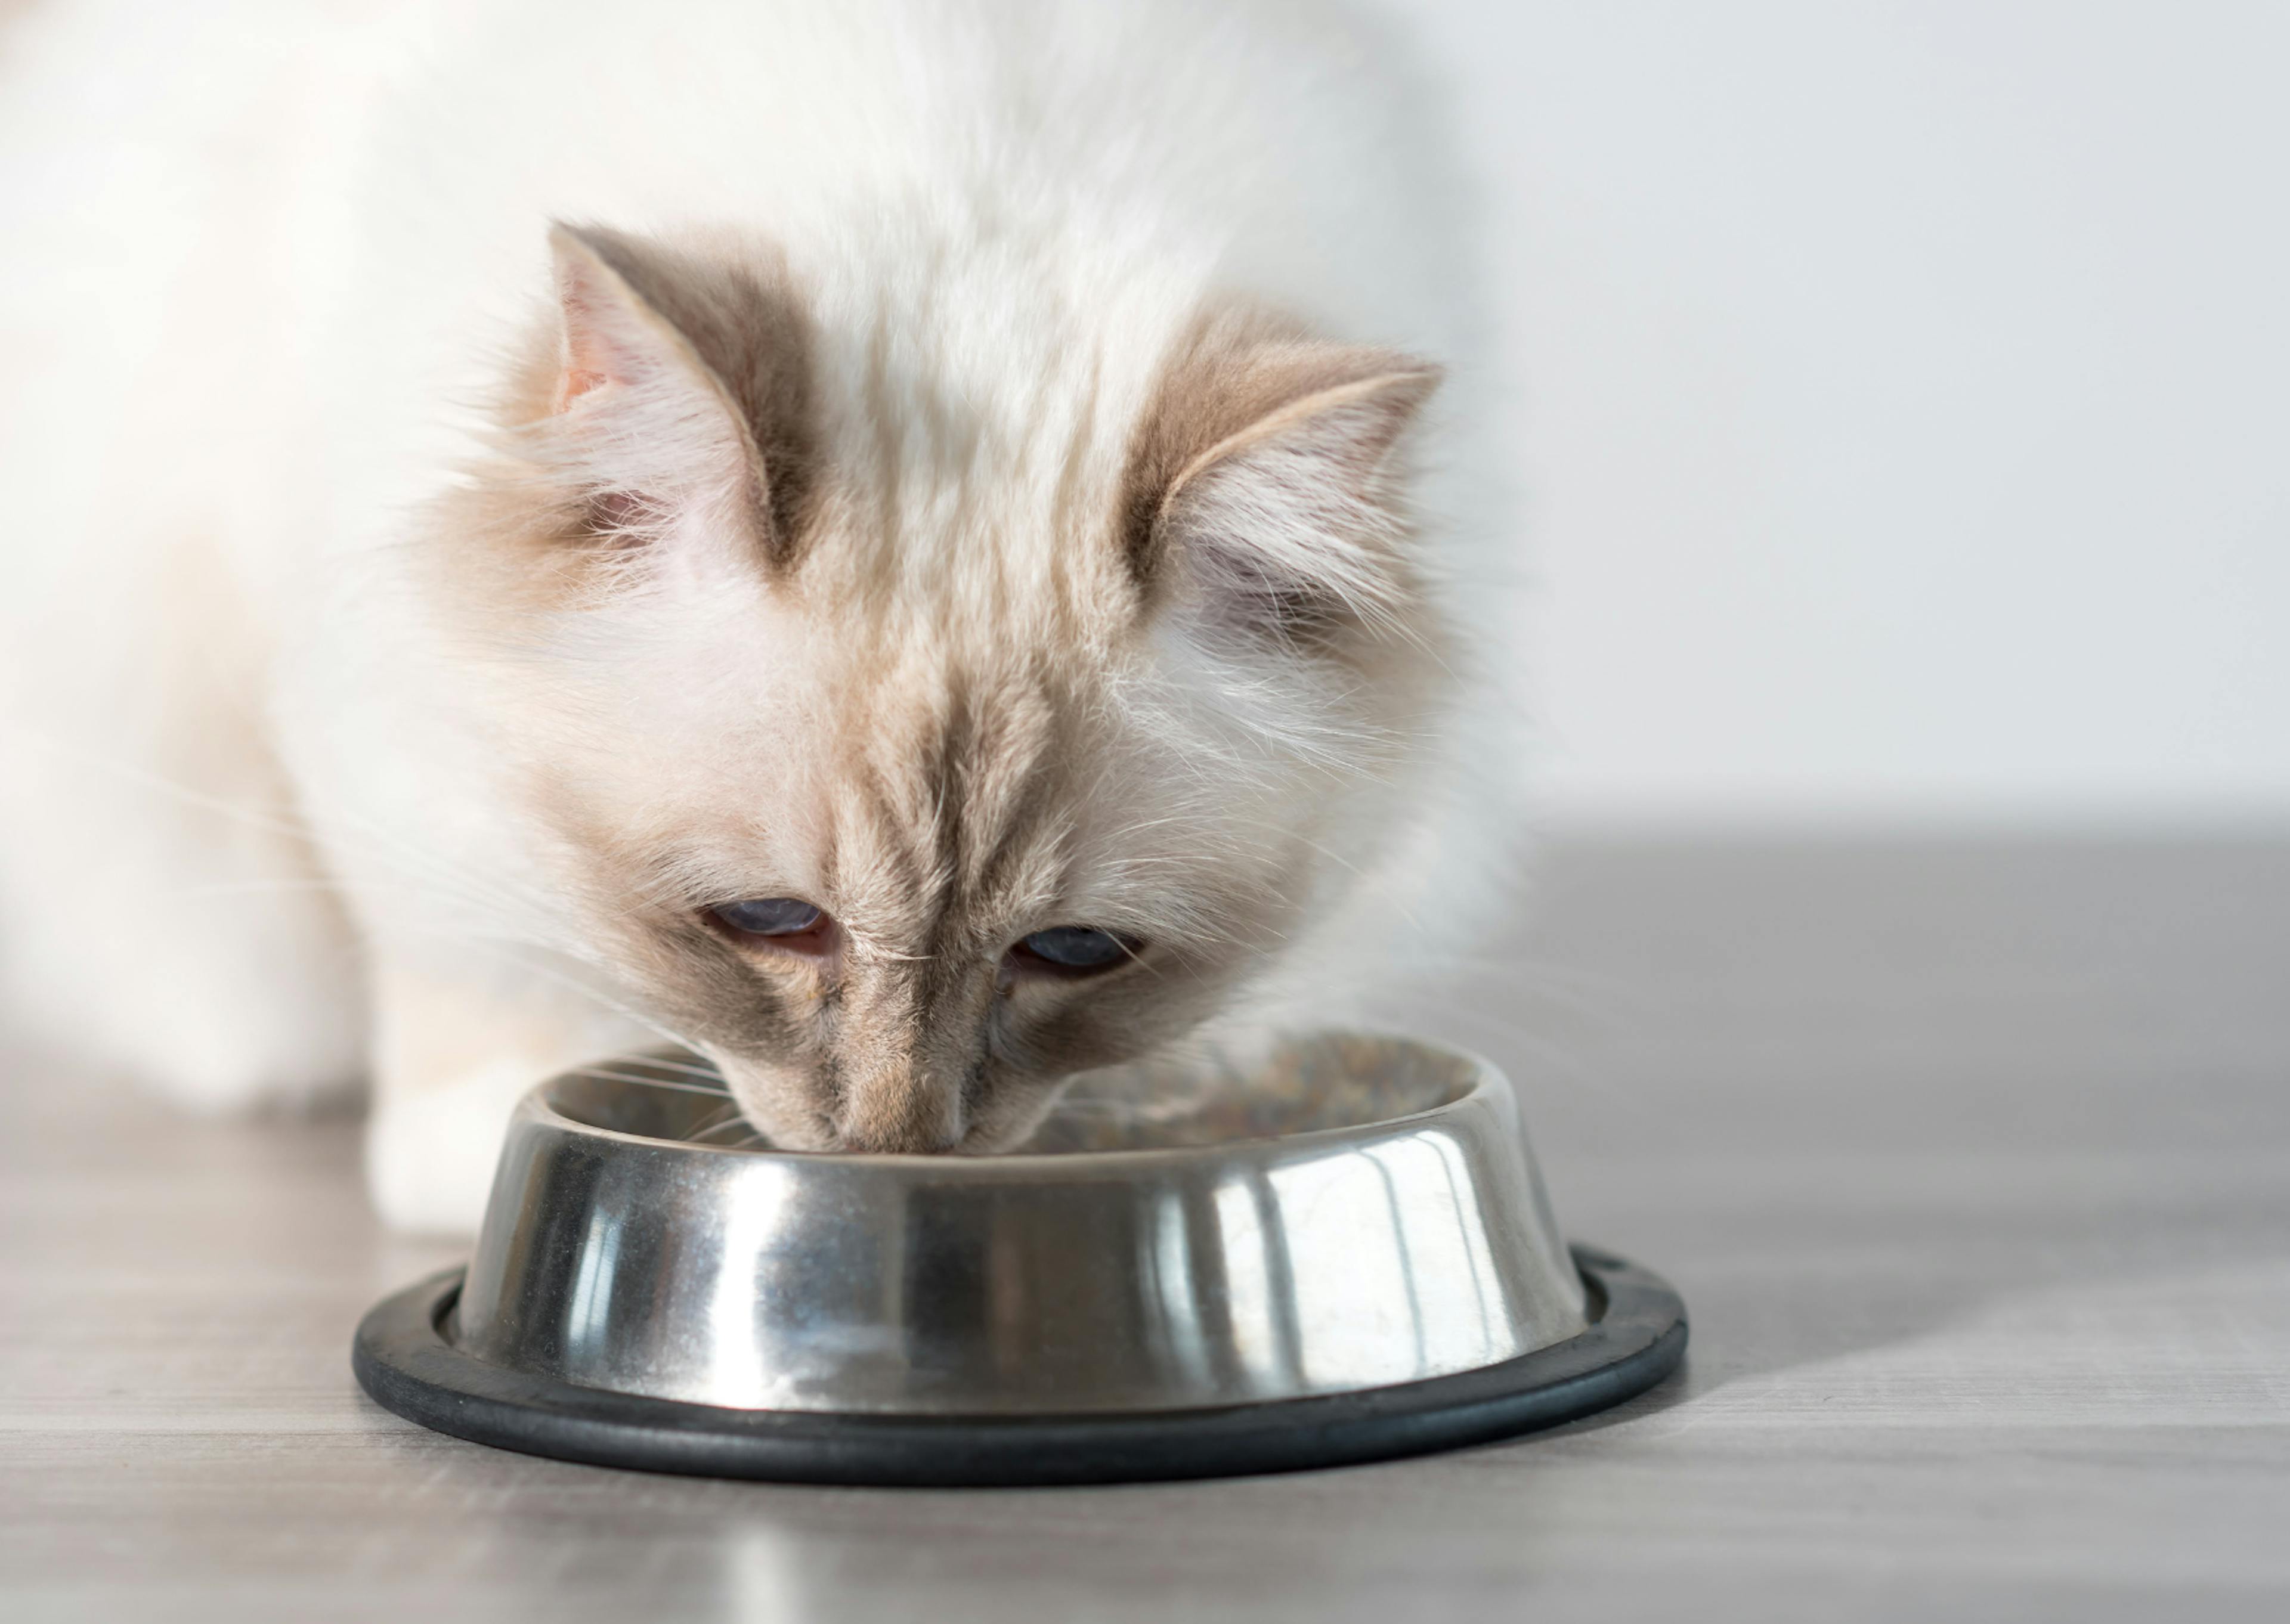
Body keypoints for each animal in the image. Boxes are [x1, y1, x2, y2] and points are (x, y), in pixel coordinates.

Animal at [4, 0, 1539, 1228]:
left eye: (1074, 954)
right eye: (764, 922)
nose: (898, 1148)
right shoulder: (352, 673)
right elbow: (469, 942)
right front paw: (475, 1139)